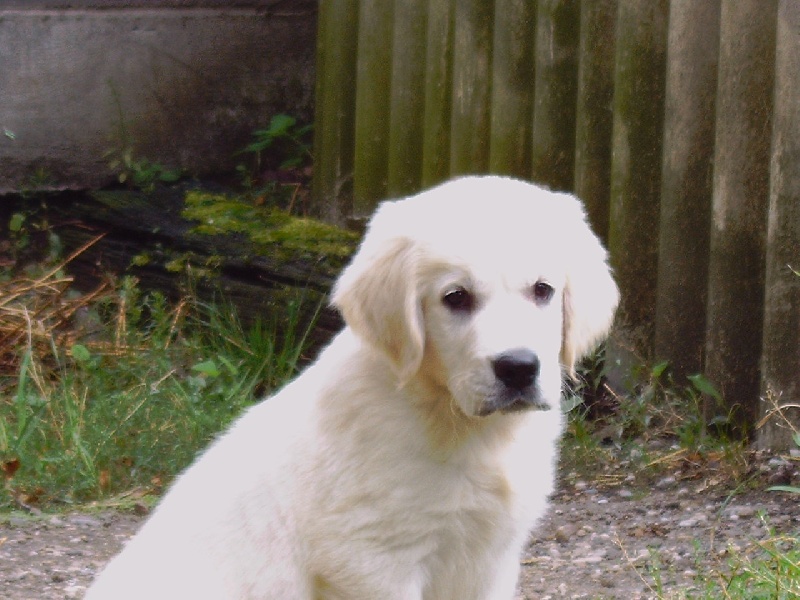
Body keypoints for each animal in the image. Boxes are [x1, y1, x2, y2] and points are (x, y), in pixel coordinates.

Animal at [86, 176, 620, 596]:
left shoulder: (490, 559)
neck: (450, 418)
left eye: (543, 291)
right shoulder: (373, 558)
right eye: (456, 298)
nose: (518, 368)